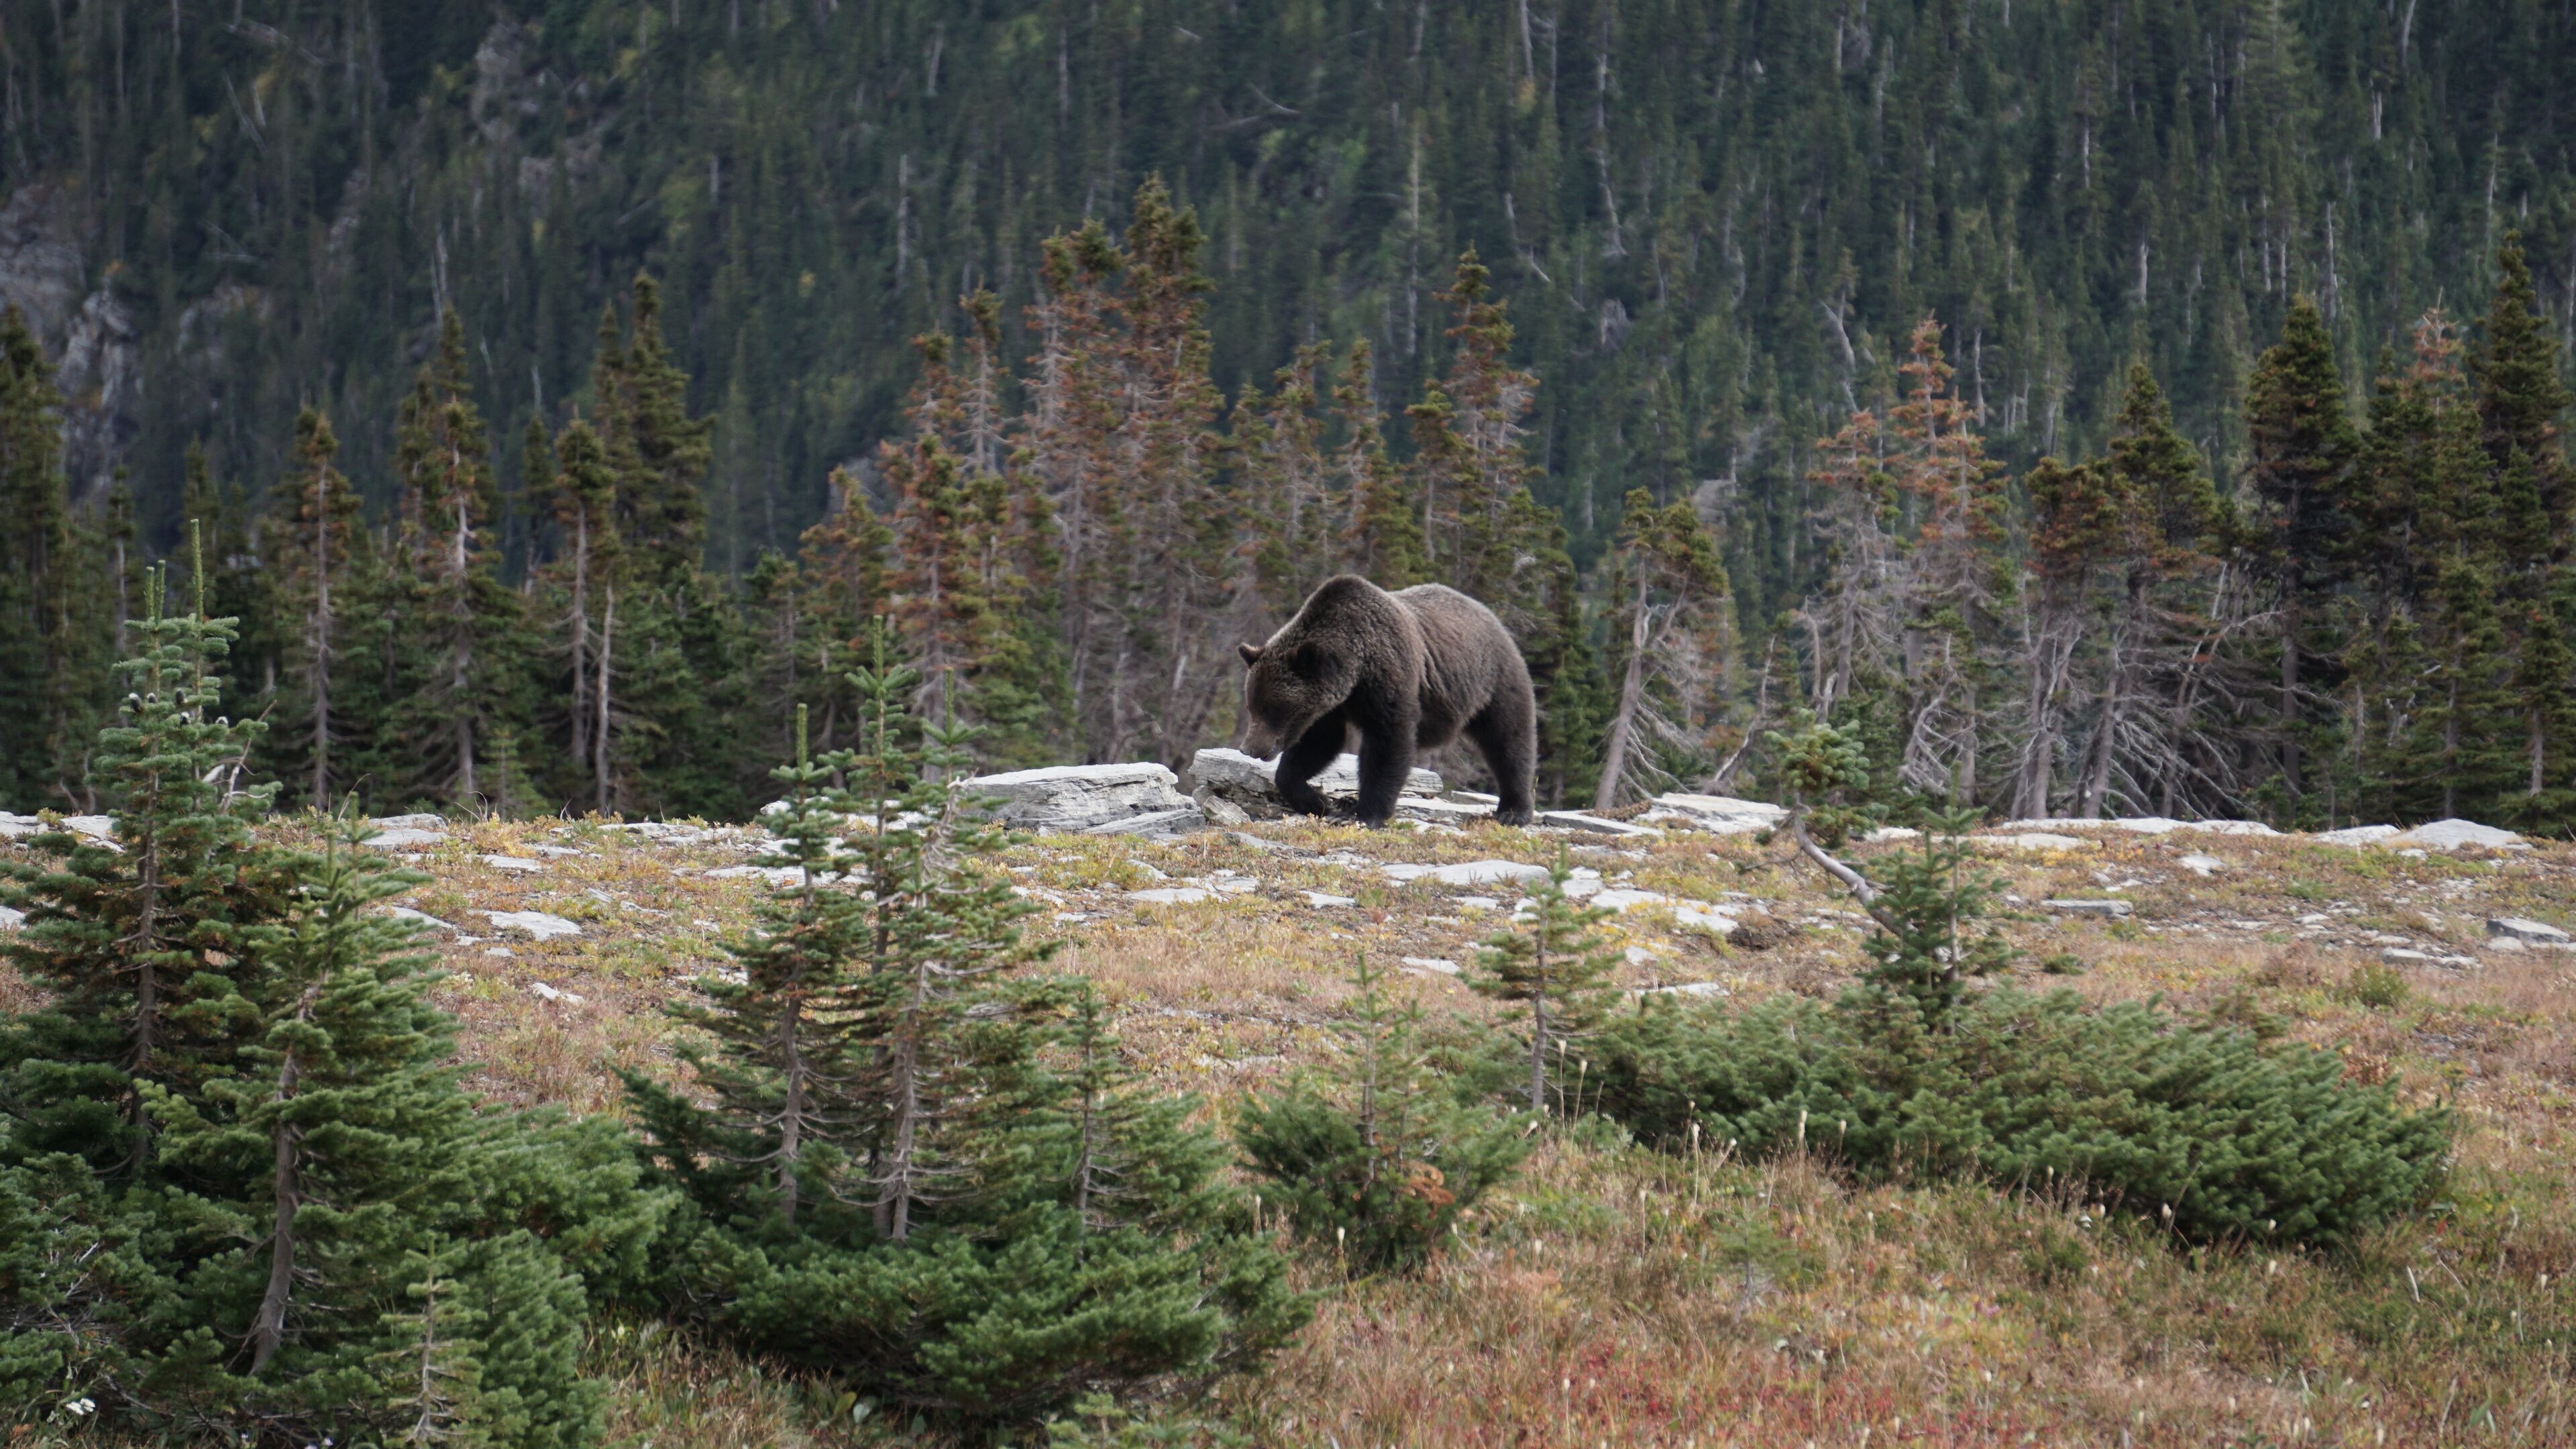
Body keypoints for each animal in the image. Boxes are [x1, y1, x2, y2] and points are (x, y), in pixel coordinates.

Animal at [1237, 575, 1538, 828]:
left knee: (1508, 741)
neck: (1354, 673)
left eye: (1271, 709)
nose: (1249, 748)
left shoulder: (1388, 678)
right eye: (1252, 706)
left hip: (1494, 681)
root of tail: (1490, 616)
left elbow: (1388, 742)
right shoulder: (1329, 707)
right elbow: (1318, 744)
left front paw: (1361, 814)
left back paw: (1513, 811)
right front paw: (1318, 801)